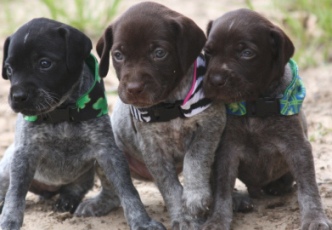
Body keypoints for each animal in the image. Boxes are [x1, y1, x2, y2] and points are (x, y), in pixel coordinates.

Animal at [0, 18, 165, 230]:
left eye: (44, 64)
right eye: (9, 69)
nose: (18, 97)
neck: (62, 112)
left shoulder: (107, 151)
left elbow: (128, 191)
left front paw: (141, 221)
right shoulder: (24, 154)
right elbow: (15, 194)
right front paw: (9, 220)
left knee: (76, 188)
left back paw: (68, 199)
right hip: (7, 166)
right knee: (6, 188)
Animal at [96, 1, 226, 228]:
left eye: (159, 53)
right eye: (118, 55)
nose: (134, 88)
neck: (169, 104)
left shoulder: (212, 124)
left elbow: (195, 158)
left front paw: (195, 196)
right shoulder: (152, 147)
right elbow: (169, 187)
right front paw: (183, 217)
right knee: (116, 187)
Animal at [202, 8, 332, 229]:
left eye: (246, 53)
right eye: (208, 52)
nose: (216, 80)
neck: (254, 105)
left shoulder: (298, 147)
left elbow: (308, 187)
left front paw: (315, 218)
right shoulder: (226, 150)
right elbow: (221, 189)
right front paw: (218, 219)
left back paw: (278, 187)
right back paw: (239, 200)